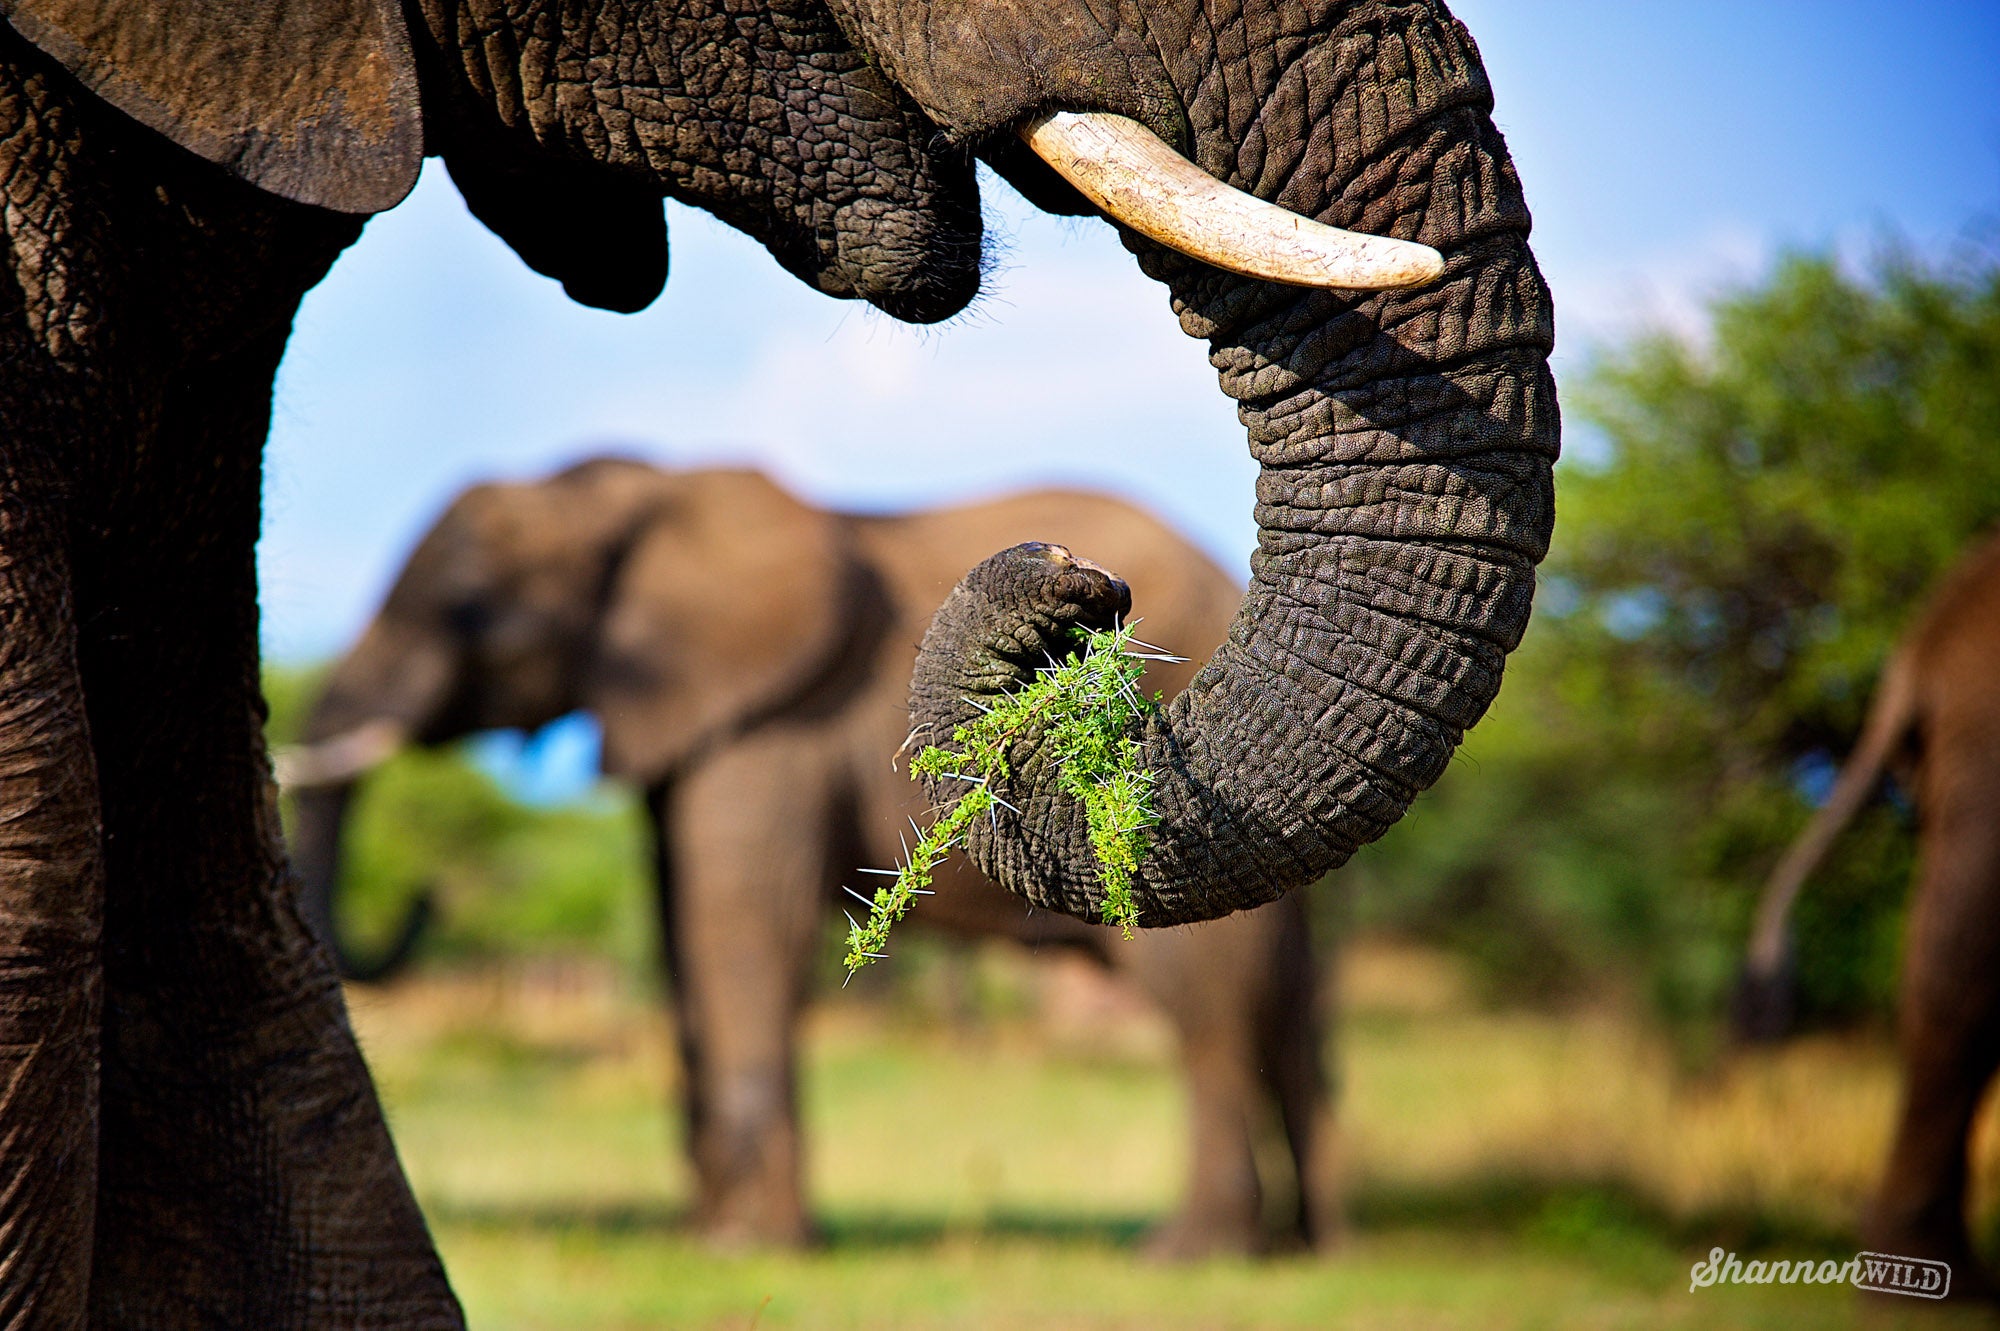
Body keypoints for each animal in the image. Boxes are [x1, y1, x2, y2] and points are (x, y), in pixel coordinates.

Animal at [286, 455, 1344, 1255]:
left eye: (470, 608)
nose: (429, 892)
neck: (636, 488)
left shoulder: (775, 725)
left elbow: (740, 925)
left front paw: (750, 1249)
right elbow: (678, 932)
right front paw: (713, 1236)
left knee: (1205, 1001)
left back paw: (1188, 1254)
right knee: (1292, 999)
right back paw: (1310, 1250)